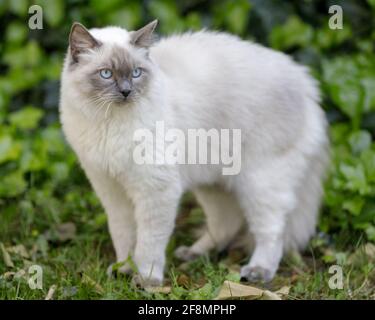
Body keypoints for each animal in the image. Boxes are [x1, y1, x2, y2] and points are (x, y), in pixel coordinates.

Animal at [59, 20, 328, 288]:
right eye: (106, 74)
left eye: (136, 73)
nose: (126, 91)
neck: (110, 122)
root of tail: (307, 83)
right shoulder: (112, 191)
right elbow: (124, 237)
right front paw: (122, 270)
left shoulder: (154, 190)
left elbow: (148, 243)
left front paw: (146, 279)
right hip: (213, 183)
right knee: (226, 223)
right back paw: (193, 254)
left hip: (259, 183)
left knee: (271, 230)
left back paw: (257, 272)